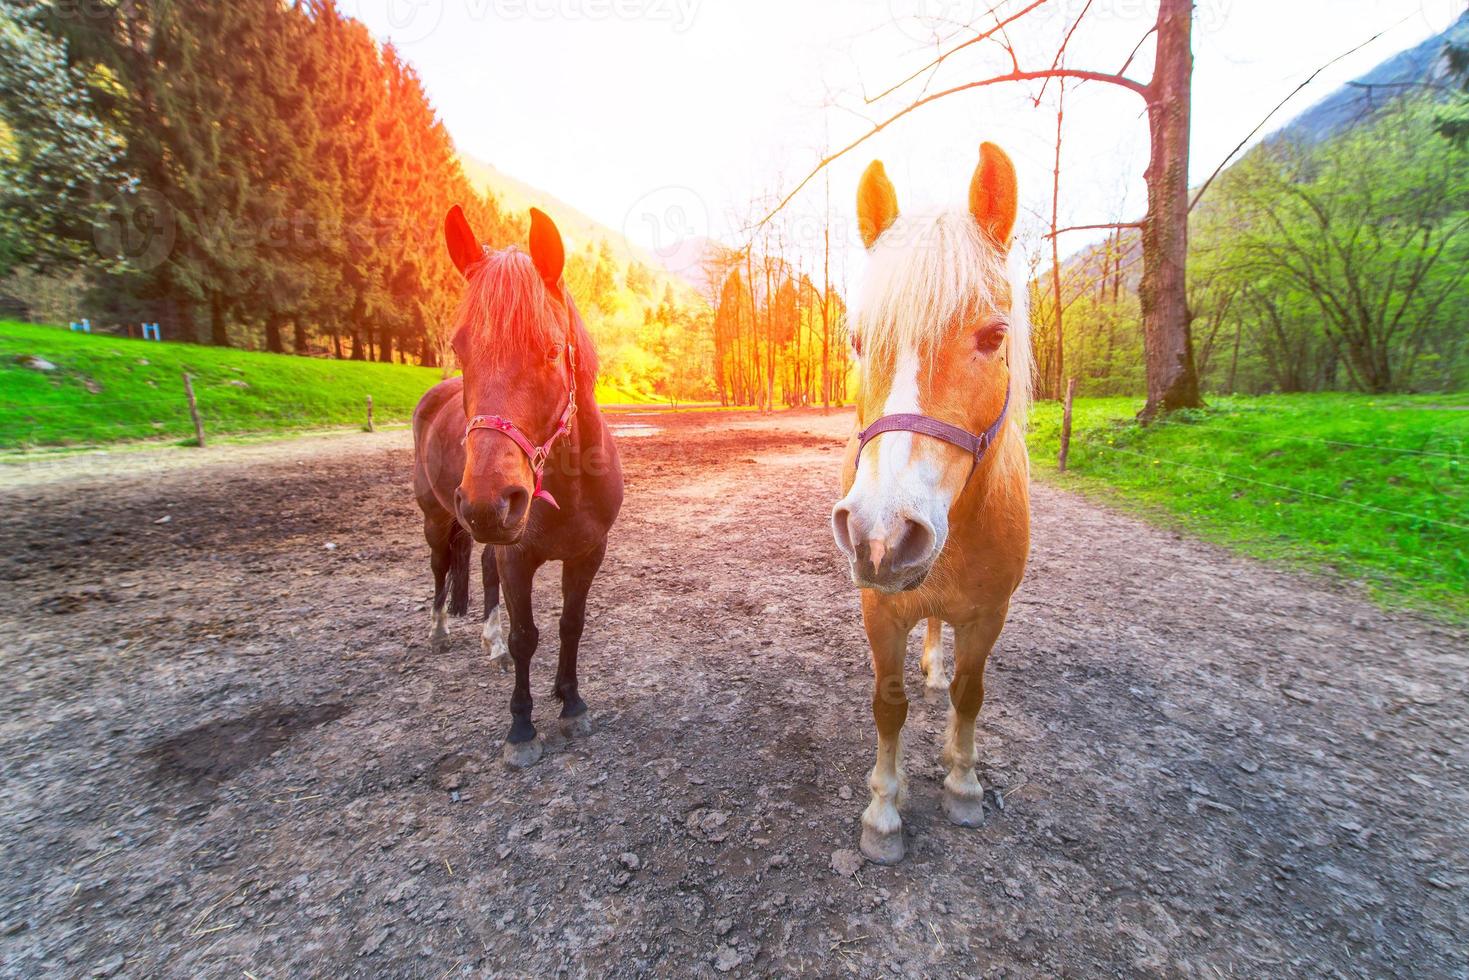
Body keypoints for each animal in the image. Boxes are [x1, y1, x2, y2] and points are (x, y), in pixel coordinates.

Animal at [411, 208, 622, 775]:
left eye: (550, 350)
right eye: (459, 346)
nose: (488, 503)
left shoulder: (588, 552)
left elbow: (571, 624)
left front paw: (570, 702)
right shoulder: (518, 556)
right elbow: (527, 635)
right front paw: (522, 729)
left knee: (481, 569)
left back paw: (491, 645)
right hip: (438, 519)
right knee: (441, 567)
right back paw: (439, 632)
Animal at [834, 141, 1028, 863]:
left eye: (993, 336)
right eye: (857, 339)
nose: (882, 534)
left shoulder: (990, 613)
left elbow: (971, 695)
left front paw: (962, 784)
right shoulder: (879, 610)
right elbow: (888, 705)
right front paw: (883, 812)